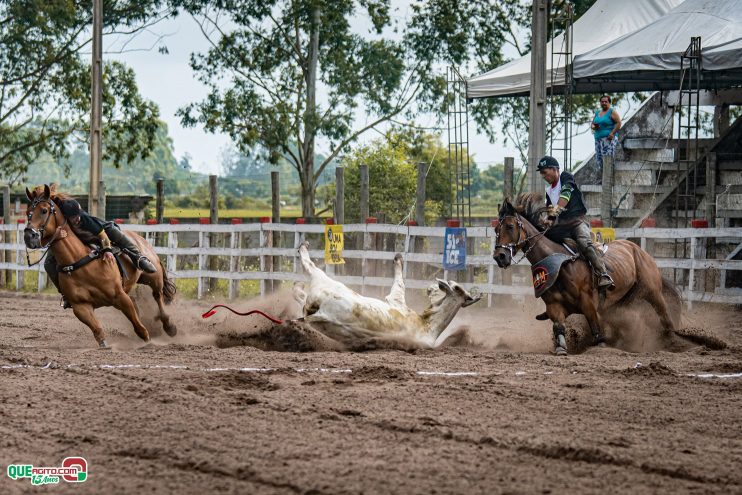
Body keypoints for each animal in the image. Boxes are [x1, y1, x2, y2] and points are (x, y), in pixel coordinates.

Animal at [23, 185, 177, 348]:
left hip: (153, 277)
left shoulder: (120, 296)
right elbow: (97, 330)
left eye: (44, 210)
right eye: (27, 213)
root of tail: (141, 238)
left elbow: (139, 326)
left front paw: (147, 341)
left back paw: (169, 326)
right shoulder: (80, 307)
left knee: (158, 297)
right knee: (140, 302)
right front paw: (104, 344)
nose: (28, 236)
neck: (79, 260)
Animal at [296, 242, 482, 346]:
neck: (426, 325)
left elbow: (399, 284)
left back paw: (303, 248)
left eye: (454, 286)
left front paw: (398, 258)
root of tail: (322, 314)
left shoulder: (396, 300)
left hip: (321, 281)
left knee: (309, 266)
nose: (431, 287)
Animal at [494, 194, 680, 356]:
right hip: (620, 302)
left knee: (664, 316)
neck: (561, 264)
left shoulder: (588, 302)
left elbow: (595, 326)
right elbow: (559, 327)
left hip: (652, 291)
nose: (499, 256)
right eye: (496, 229)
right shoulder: (554, 305)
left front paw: (601, 345)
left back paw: (673, 340)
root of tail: (636, 248)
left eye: (510, 226)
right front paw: (561, 348)